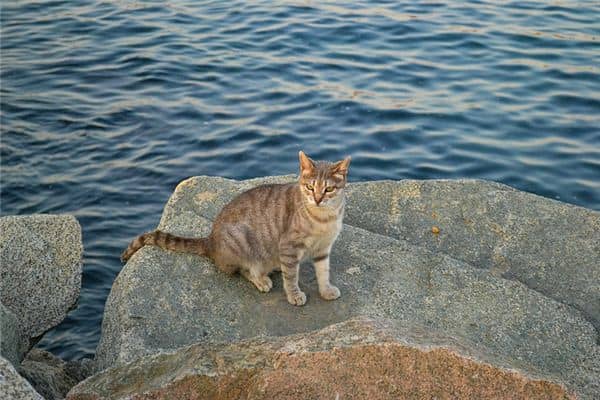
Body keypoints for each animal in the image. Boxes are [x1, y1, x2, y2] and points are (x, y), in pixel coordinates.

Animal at [119, 151, 350, 306]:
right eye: (310, 187)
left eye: (328, 189)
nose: (318, 199)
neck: (323, 218)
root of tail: (210, 241)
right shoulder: (289, 247)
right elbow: (291, 276)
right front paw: (294, 294)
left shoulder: (323, 249)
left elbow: (323, 271)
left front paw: (326, 290)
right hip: (244, 244)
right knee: (244, 270)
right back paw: (261, 279)